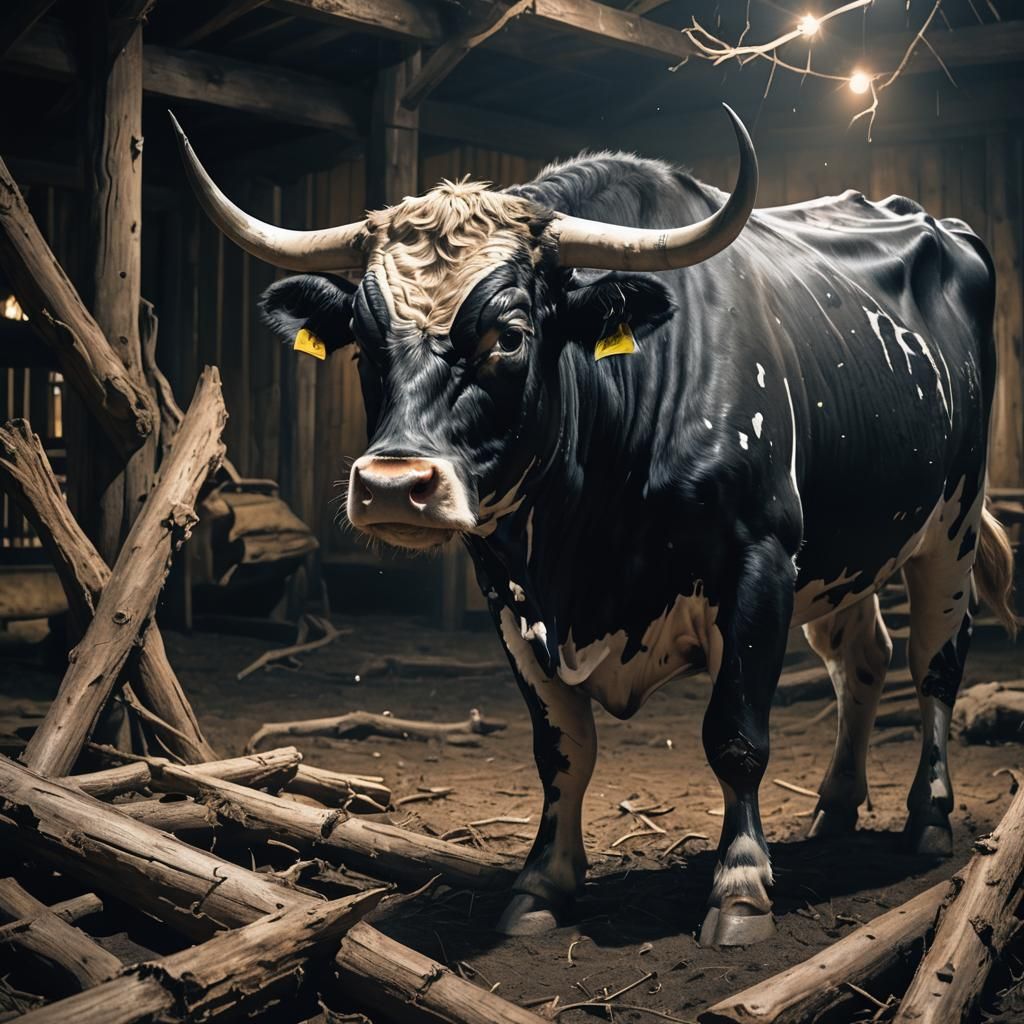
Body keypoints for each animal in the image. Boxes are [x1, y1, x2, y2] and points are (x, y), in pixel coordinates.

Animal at [171, 107, 1017, 946]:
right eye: (363, 341)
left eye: (510, 336)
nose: (391, 486)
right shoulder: (510, 588)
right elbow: (563, 750)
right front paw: (543, 883)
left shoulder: (760, 560)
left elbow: (737, 734)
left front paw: (741, 886)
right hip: (851, 550)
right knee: (862, 659)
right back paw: (836, 806)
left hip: (951, 527)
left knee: (935, 664)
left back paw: (928, 817)